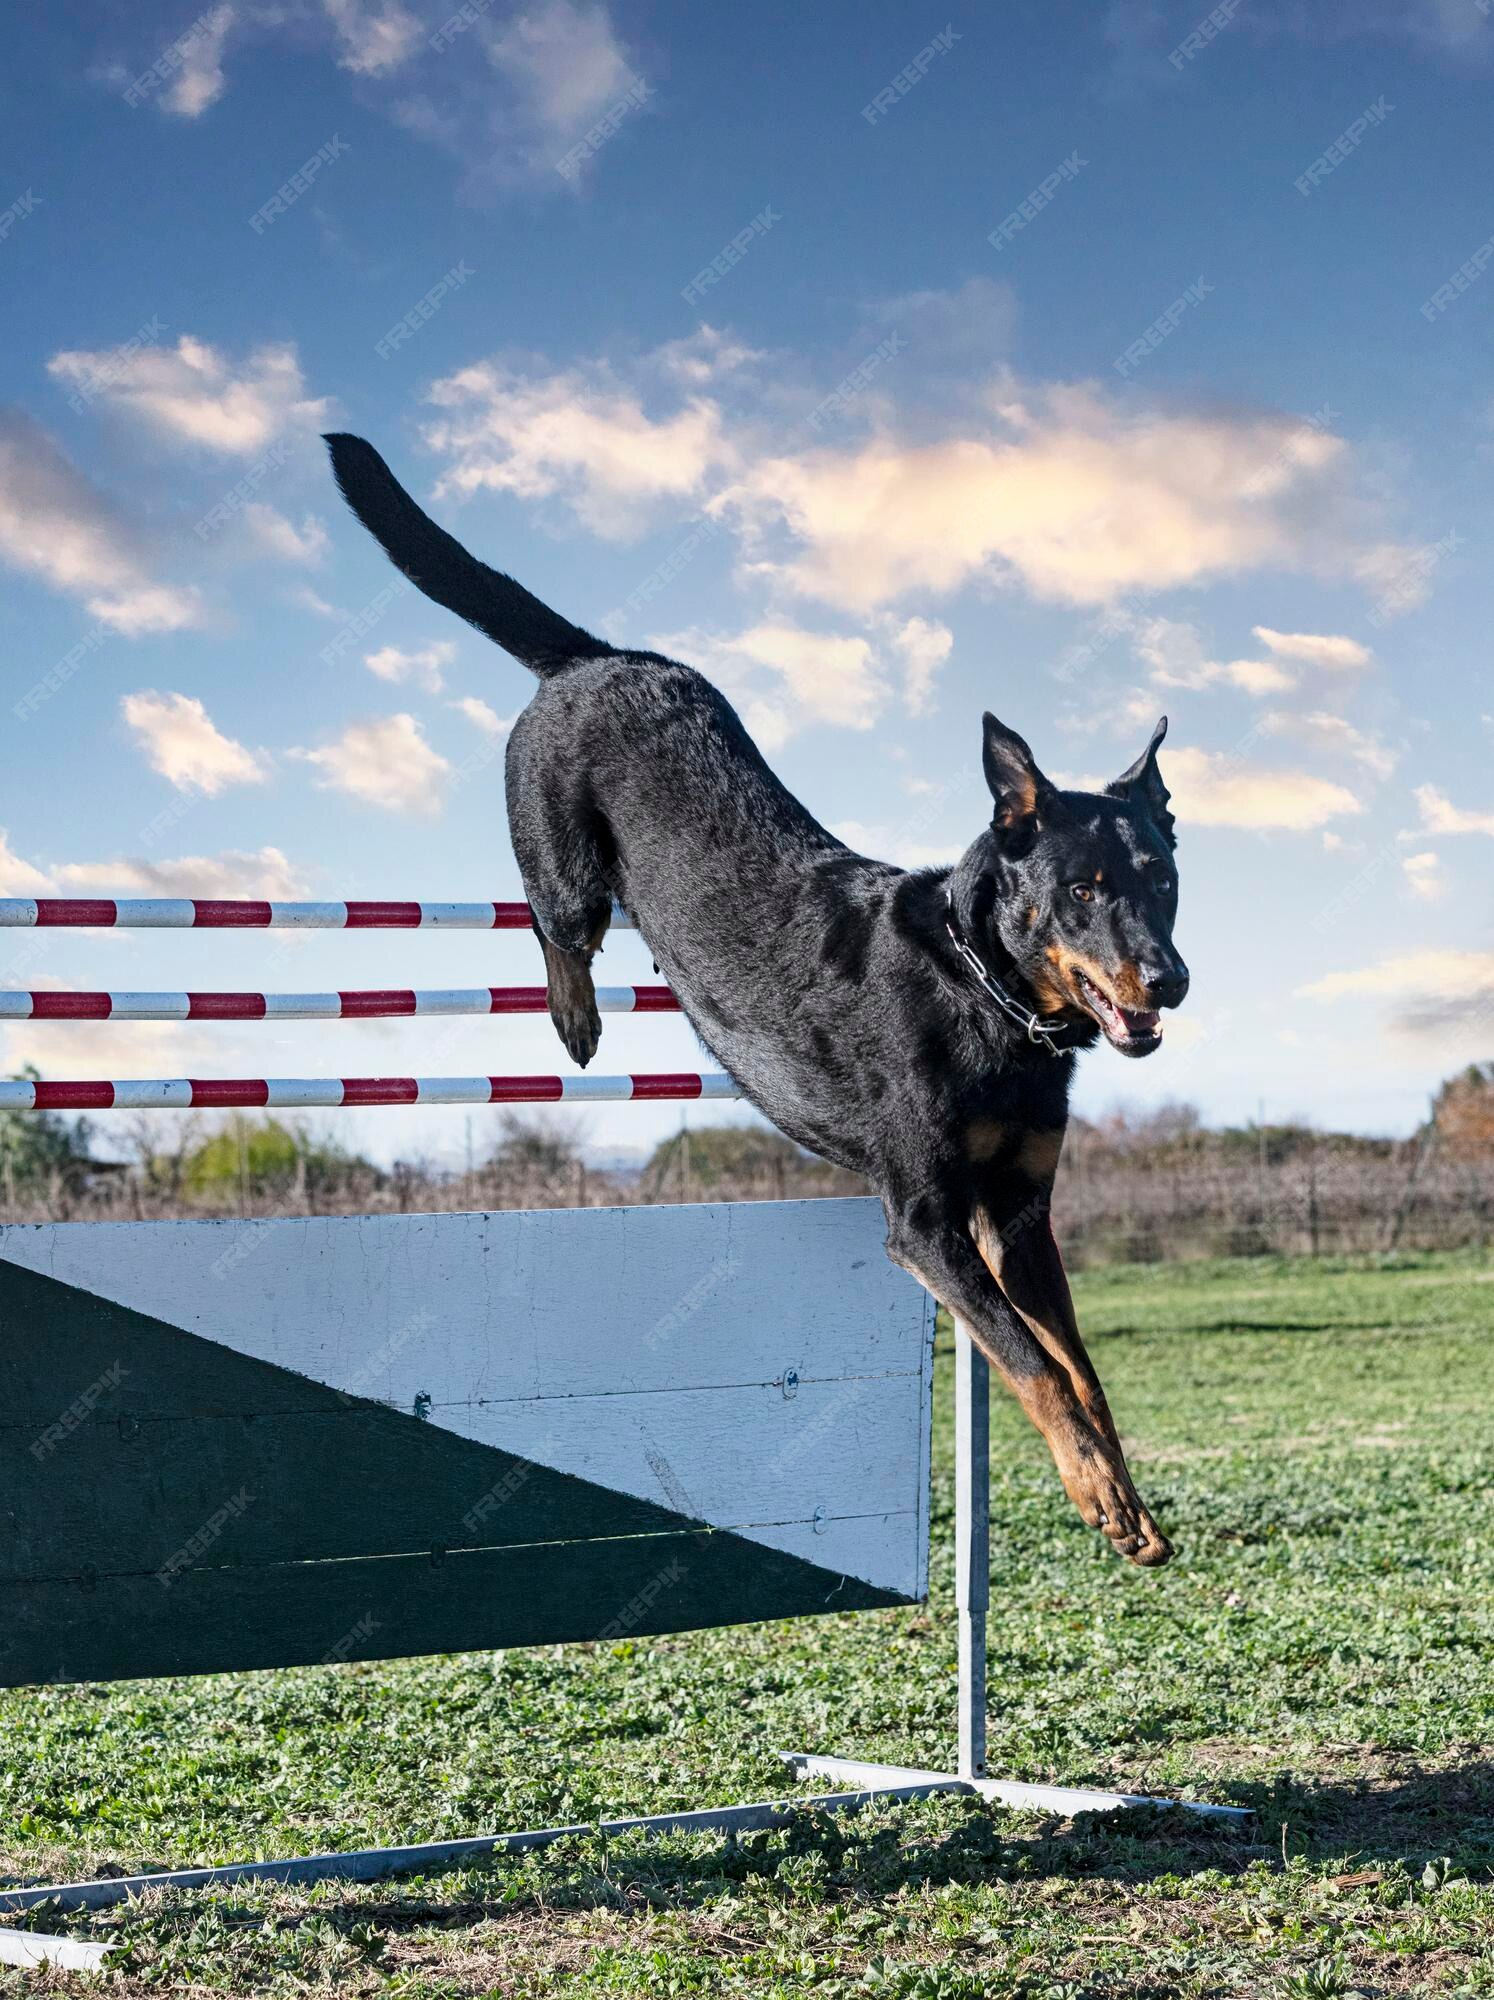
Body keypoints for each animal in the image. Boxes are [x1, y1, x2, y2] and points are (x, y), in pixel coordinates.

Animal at [328, 434, 1192, 1560]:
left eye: (1163, 879)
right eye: (1083, 889)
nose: (1170, 977)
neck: (986, 997)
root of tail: (597, 656)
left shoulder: (1020, 1216)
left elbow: (1078, 1367)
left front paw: (1119, 1493)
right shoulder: (928, 1224)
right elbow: (1031, 1359)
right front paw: (1102, 1494)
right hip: (564, 858)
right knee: (559, 926)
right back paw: (576, 1016)